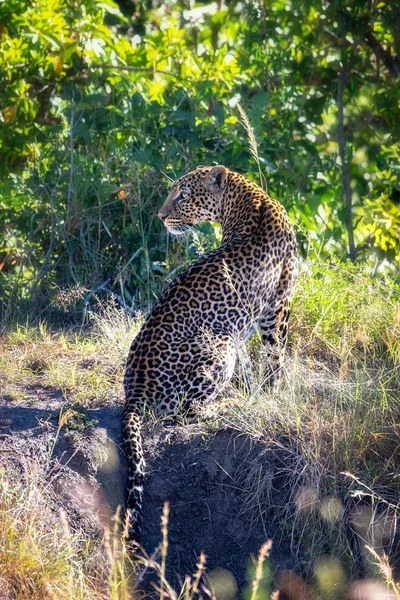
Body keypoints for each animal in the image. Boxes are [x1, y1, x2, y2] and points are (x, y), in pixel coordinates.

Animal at [123, 165, 298, 544]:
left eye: (182, 195)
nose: (161, 216)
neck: (250, 198)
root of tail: (134, 391)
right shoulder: (276, 308)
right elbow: (275, 357)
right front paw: (276, 392)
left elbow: (258, 363)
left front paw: (260, 391)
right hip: (221, 344)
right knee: (186, 412)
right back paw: (224, 406)